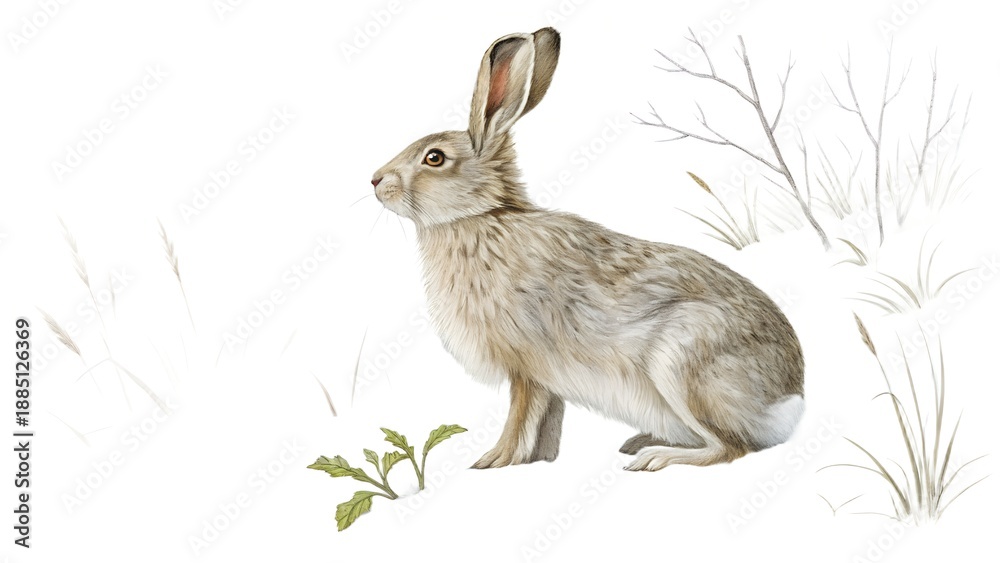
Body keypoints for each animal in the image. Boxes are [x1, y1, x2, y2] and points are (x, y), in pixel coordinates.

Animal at [370, 27, 805, 471]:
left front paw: (491, 461)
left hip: (684, 364)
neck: (481, 218)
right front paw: (539, 461)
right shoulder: (547, 380)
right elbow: (548, 419)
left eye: (434, 158)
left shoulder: (525, 365)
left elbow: (520, 415)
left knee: (732, 447)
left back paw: (654, 458)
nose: (375, 181)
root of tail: (788, 400)